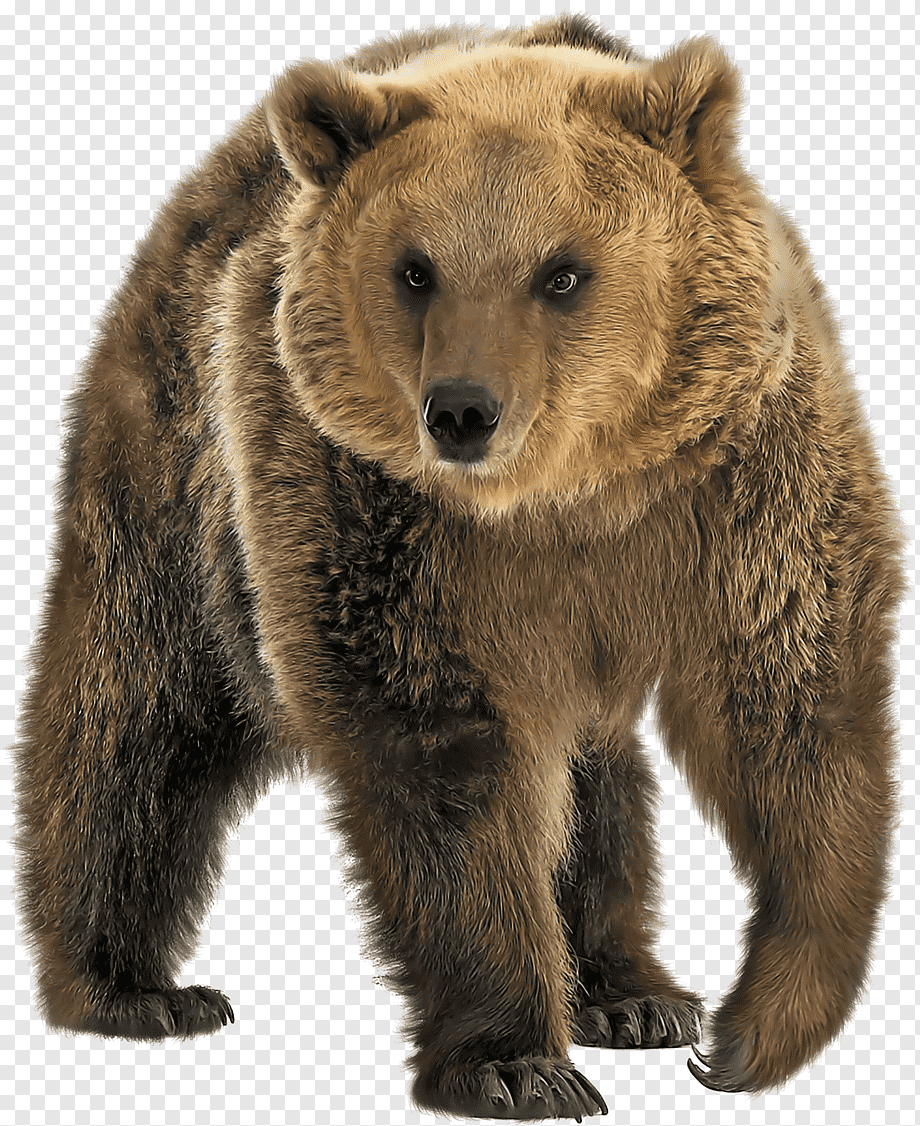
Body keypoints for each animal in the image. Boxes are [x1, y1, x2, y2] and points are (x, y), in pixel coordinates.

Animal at [14, 12, 903, 1120]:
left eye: (561, 271)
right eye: (414, 268)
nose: (463, 410)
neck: (566, 498)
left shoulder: (740, 474)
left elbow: (788, 701)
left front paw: (750, 1029)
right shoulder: (373, 515)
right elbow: (447, 760)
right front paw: (516, 1061)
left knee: (593, 774)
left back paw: (629, 993)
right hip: (177, 475)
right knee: (136, 715)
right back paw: (130, 986)